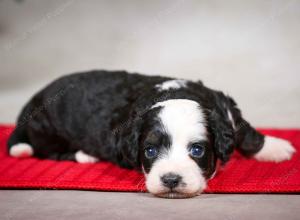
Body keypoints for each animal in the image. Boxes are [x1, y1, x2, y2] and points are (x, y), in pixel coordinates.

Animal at [7, 71, 296, 199]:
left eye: (197, 150)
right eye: (150, 151)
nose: (170, 180)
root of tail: (33, 101)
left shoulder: (225, 108)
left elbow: (245, 131)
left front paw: (274, 147)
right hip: (48, 129)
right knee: (48, 151)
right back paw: (83, 155)